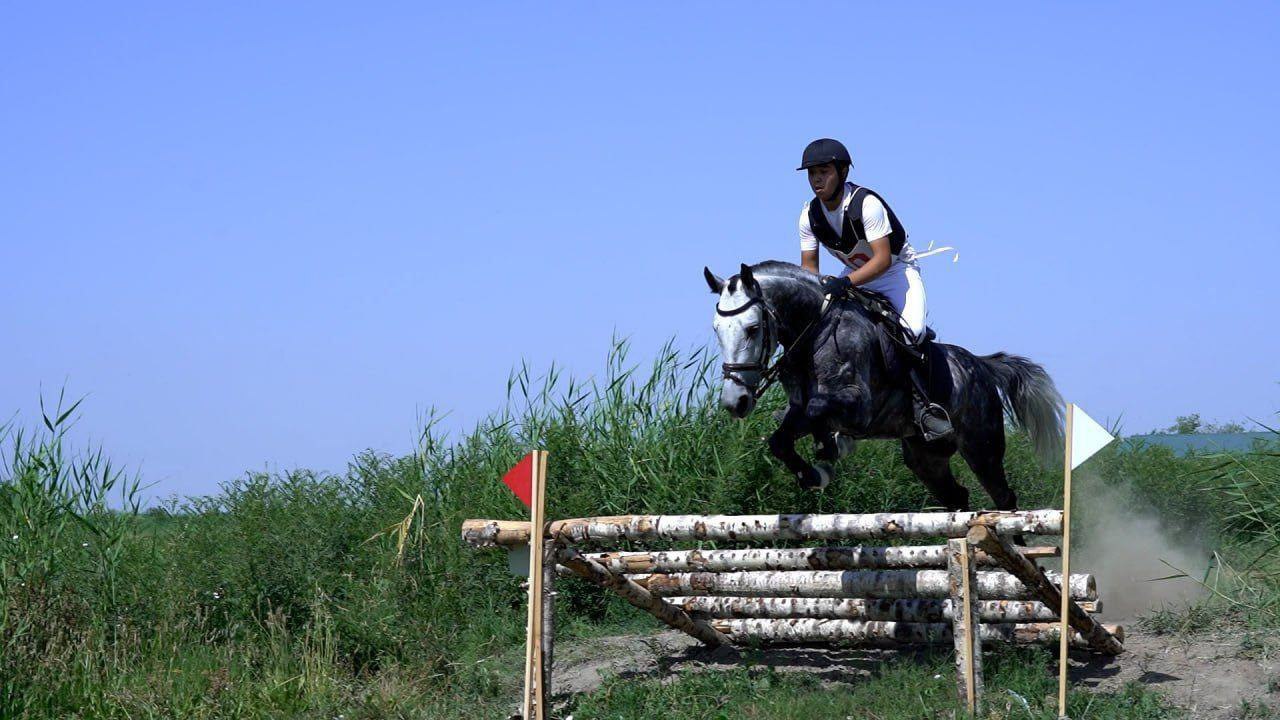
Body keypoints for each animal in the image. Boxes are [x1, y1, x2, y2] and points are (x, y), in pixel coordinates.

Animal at [704, 260, 1063, 512]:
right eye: (717, 329)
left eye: (752, 328)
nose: (735, 402)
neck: (814, 333)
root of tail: (981, 365)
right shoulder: (799, 410)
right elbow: (781, 439)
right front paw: (817, 469)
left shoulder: (858, 406)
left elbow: (818, 409)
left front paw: (830, 450)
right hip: (926, 457)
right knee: (957, 496)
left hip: (981, 447)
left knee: (1004, 498)